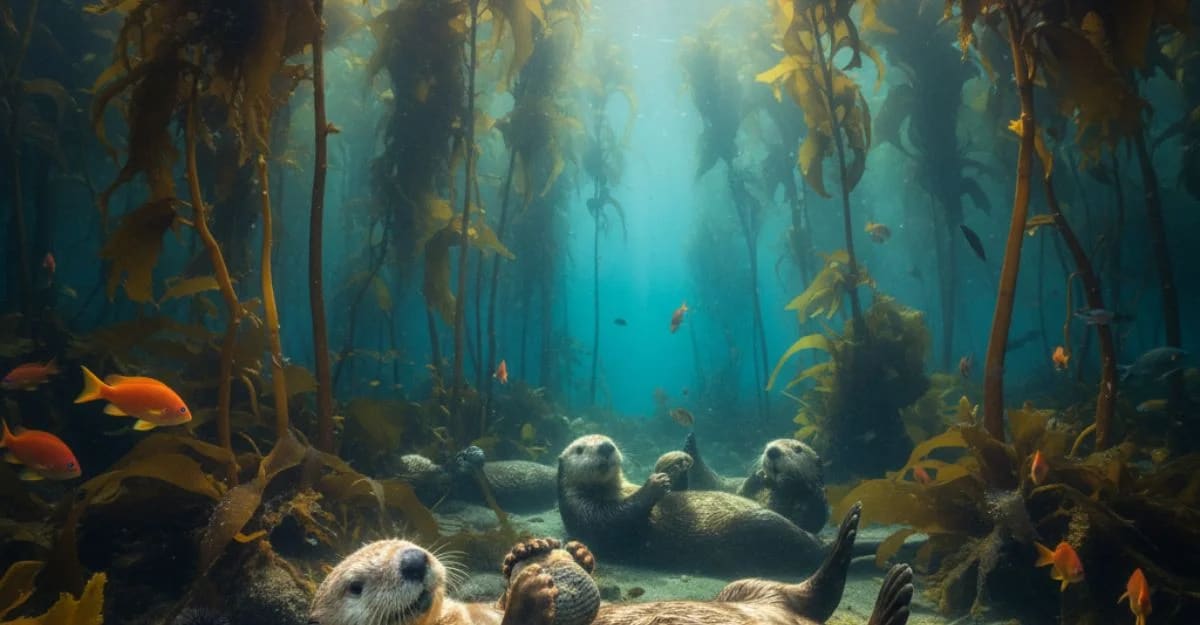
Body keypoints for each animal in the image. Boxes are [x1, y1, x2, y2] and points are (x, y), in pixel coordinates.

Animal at [557, 434, 825, 576]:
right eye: (579, 449)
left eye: (609, 440)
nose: (606, 446)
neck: (616, 489)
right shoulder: (586, 513)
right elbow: (619, 518)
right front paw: (655, 482)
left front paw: (676, 461)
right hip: (757, 526)